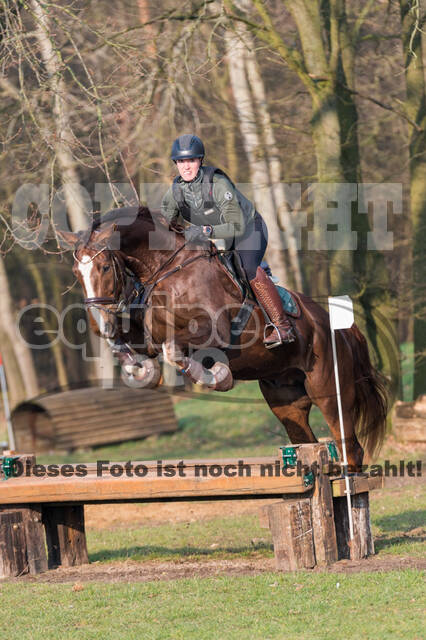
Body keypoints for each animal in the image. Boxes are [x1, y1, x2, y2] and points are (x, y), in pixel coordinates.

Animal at [60, 208, 390, 468]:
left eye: (104, 266)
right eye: (76, 272)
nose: (98, 324)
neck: (166, 269)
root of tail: (341, 328)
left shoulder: (212, 331)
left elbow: (173, 350)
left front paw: (217, 376)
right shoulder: (148, 338)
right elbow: (132, 348)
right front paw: (144, 372)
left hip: (330, 392)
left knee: (351, 448)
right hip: (286, 400)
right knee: (306, 441)